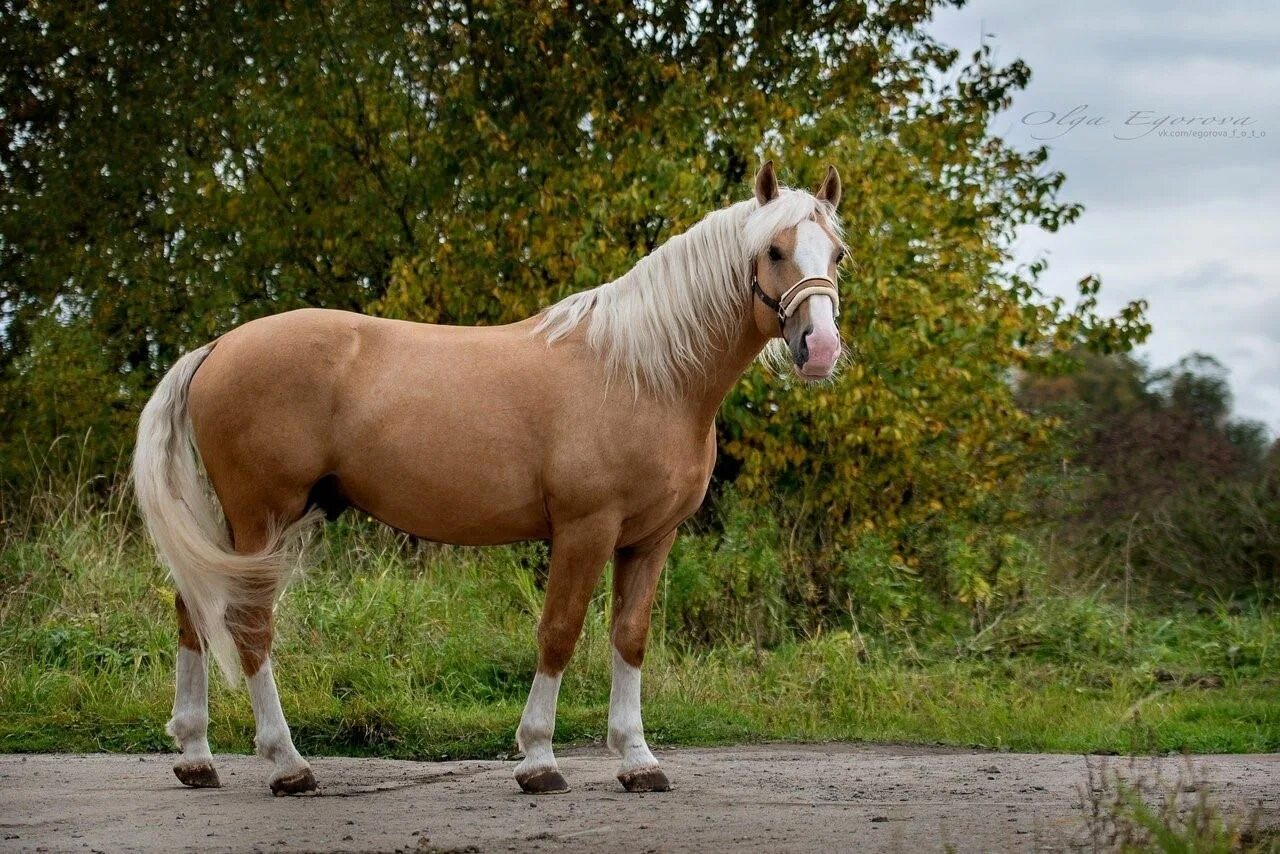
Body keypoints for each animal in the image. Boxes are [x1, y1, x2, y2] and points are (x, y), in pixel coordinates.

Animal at [135, 163, 844, 798]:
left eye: (837, 253)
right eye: (773, 250)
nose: (820, 348)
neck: (642, 373)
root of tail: (217, 348)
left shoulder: (650, 539)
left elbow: (629, 638)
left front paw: (638, 761)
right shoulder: (585, 530)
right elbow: (559, 632)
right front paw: (538, 759)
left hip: (241, 526)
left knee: (193, 609)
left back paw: (196, 757)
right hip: (263, 518)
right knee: (248, 624)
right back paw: (287, 765)